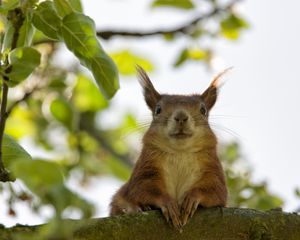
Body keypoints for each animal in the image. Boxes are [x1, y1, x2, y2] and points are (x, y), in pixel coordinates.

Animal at [109, 65, 229, 229]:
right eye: (158, 110)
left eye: (203, 110)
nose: (181, 117)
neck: (180, 152)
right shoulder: (146, 167)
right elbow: (141, 189)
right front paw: (168, 203)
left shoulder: (212, 169)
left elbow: (217, 191)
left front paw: (192, 198)